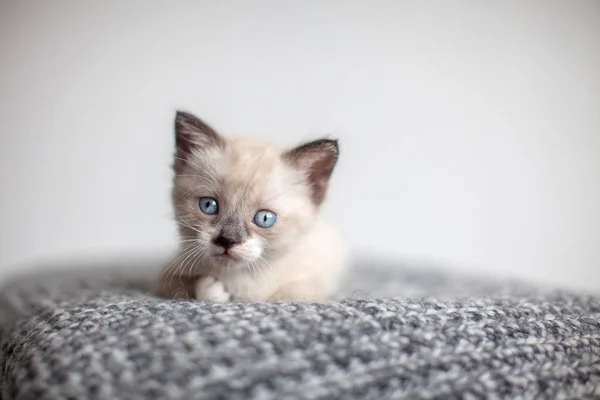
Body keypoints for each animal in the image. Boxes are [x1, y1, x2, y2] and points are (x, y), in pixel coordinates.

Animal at [158, 111, 346, 302]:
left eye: (264, 218)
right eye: (208, 205)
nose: (227, 241)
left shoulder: (309, 287)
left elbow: (280, 296)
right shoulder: (168, 277)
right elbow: (193, 287)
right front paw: (213, 289)